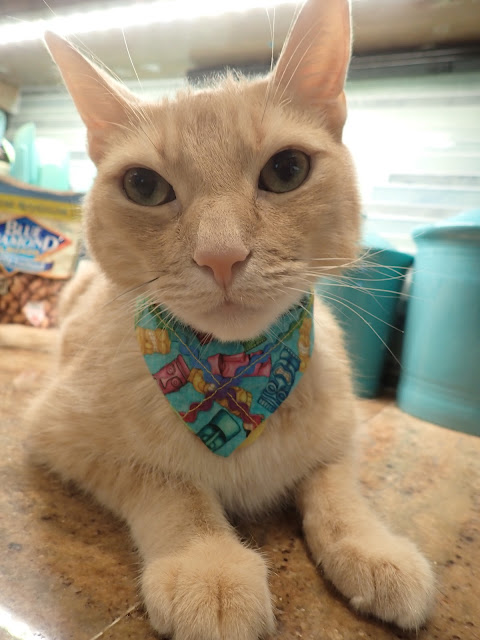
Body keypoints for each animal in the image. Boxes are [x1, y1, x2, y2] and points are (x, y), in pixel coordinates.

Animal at [26, 0, 435, 638]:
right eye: (143, 185)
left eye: (287, 170)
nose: (221, 256)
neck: (232, 372)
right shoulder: (61, 435)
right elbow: (171, 485)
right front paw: (209, 566)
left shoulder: (342, 431)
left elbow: (336, 486)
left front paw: (373, 547)